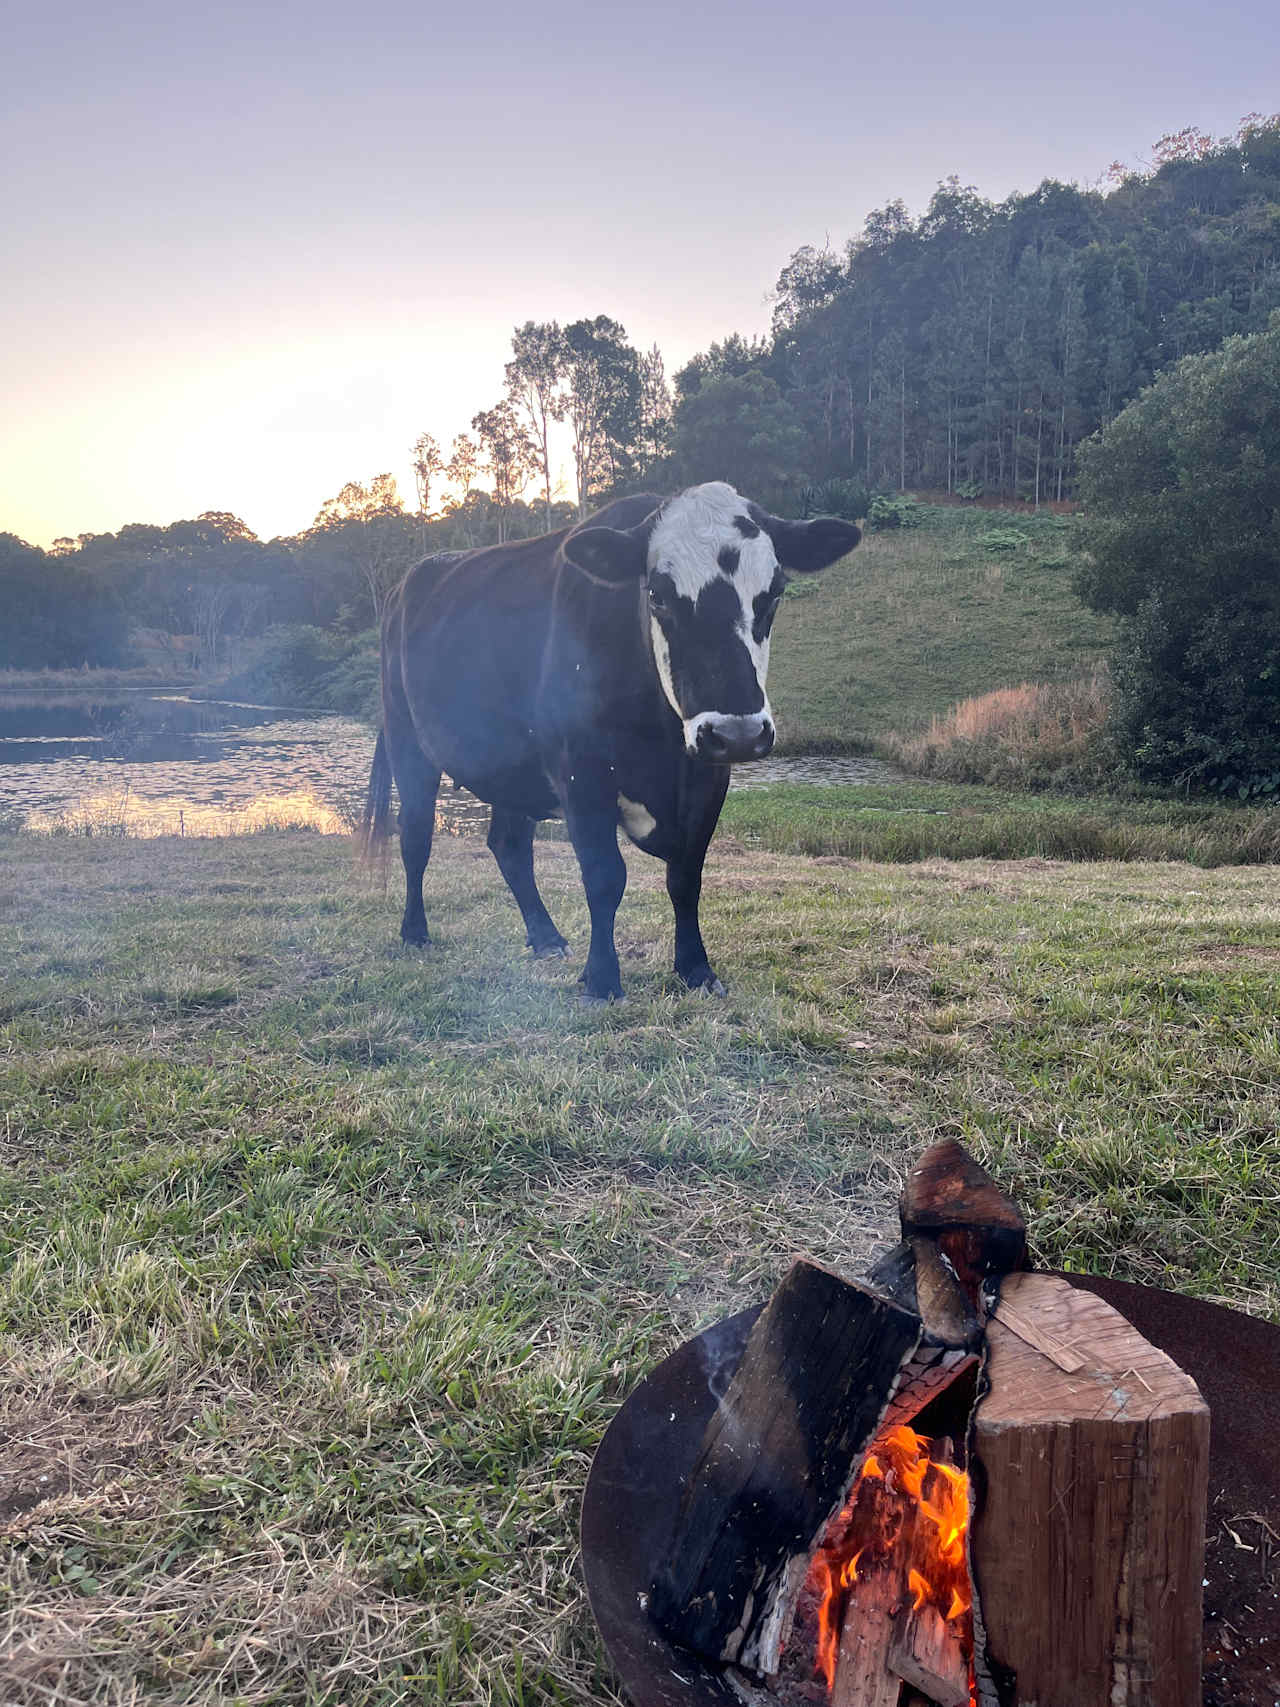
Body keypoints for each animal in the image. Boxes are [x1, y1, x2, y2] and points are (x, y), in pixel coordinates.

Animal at [361, 481, 863, 996]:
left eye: (775, 592)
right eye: (657, 595)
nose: (738, 733)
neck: (661, 748)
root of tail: (406, 583)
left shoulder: (708, 779)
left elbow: (686, 877)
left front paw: (696, 969)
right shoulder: (580, 773)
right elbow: (604, 877)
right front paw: (602, 979)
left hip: (512, 768)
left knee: (509, 845)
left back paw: (546, 936)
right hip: (408, 742)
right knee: (416, 834)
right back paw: (415, 931)